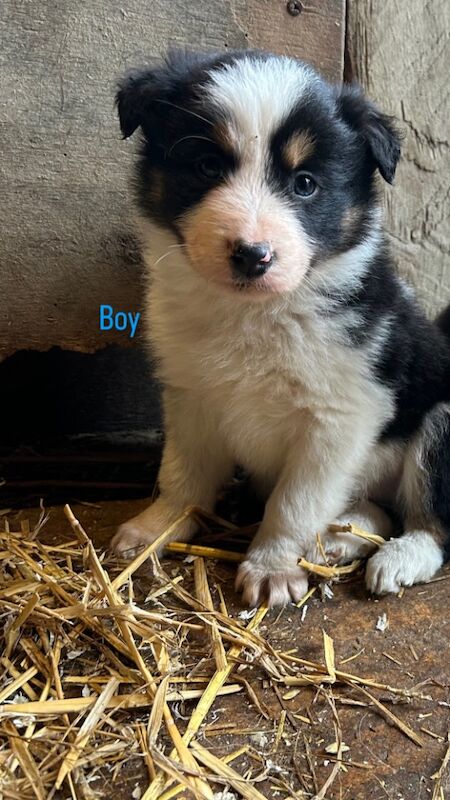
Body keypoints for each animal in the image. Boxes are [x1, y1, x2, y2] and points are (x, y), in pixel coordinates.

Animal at [111, 50, 450, 608]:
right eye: (207, 167)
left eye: (305, 183)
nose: (253, 255)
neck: (255, 313)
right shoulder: (190, 396)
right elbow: (181, 474)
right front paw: (155, 528)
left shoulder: (338, 416)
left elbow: (294, 502)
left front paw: (272, 567)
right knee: (379, 511)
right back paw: (342, 535)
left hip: (442, 419)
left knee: (432, 524)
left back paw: (397, 558)